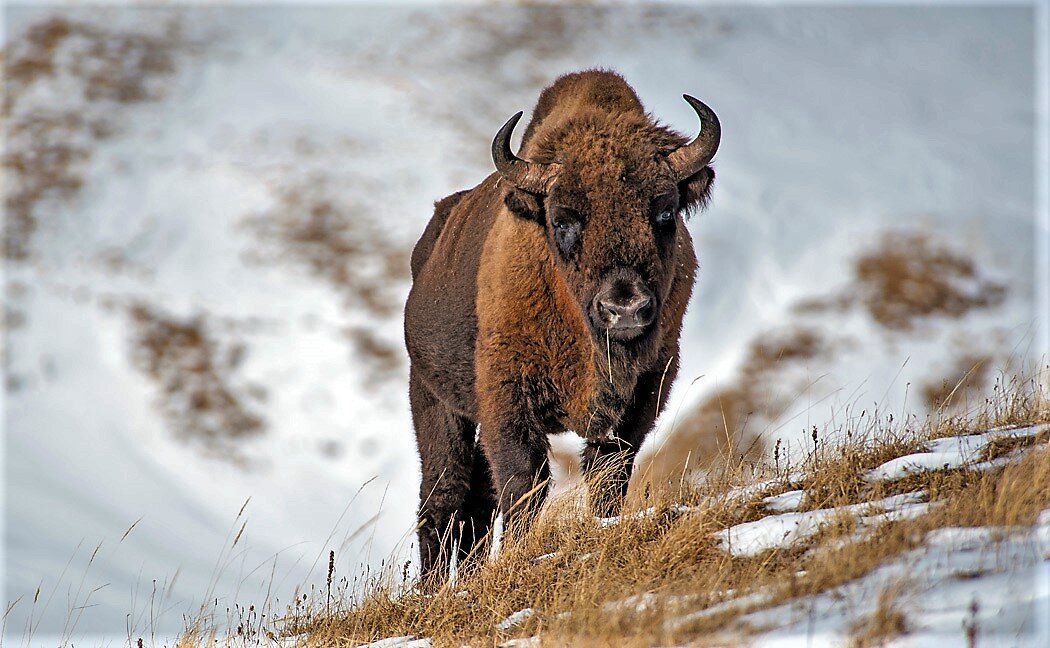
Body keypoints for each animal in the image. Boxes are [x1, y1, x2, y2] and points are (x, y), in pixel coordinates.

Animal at [403, 69, 722, 575]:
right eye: (563, 219)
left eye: (665, 210)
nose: (624, 308)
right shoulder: (509, 401)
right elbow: (522, 485)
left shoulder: (643, 394)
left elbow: (609, 473)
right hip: (434, 399)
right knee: (444, 496)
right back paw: (433, 587)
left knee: (474, 503)